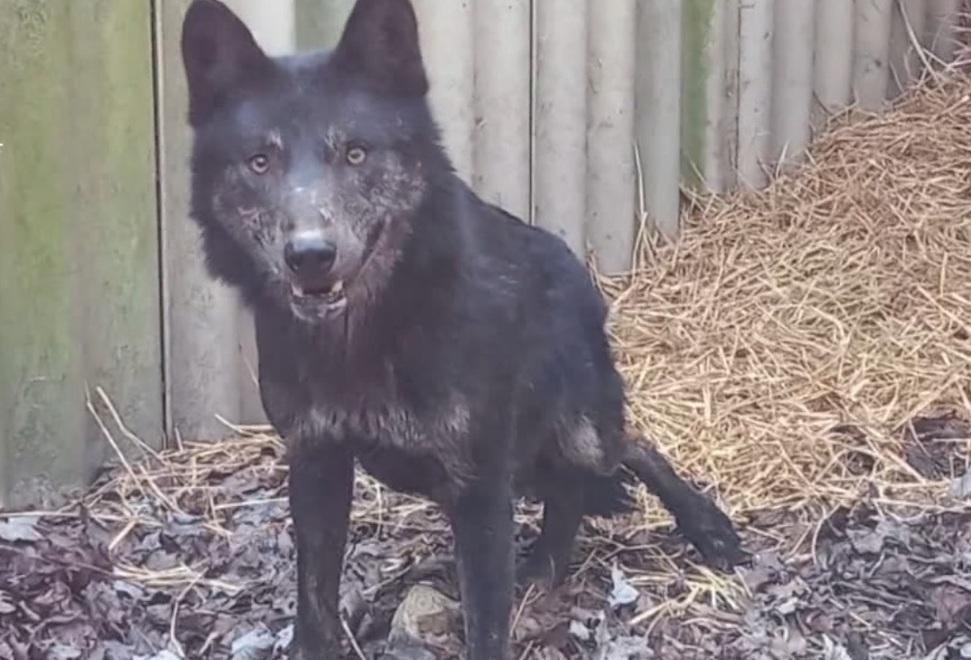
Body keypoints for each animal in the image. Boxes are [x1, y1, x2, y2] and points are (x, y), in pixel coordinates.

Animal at [180, 1, 745, 657]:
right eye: (260, 161)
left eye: (356, 153)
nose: (310, 255)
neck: (364, 341)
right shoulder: (317, 464)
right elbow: (314, 603)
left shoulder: (479, 489)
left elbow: (486, 624)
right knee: (571, 487)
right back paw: (547, 566)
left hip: (575, 433)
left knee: (628, 449)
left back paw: (702, 527)